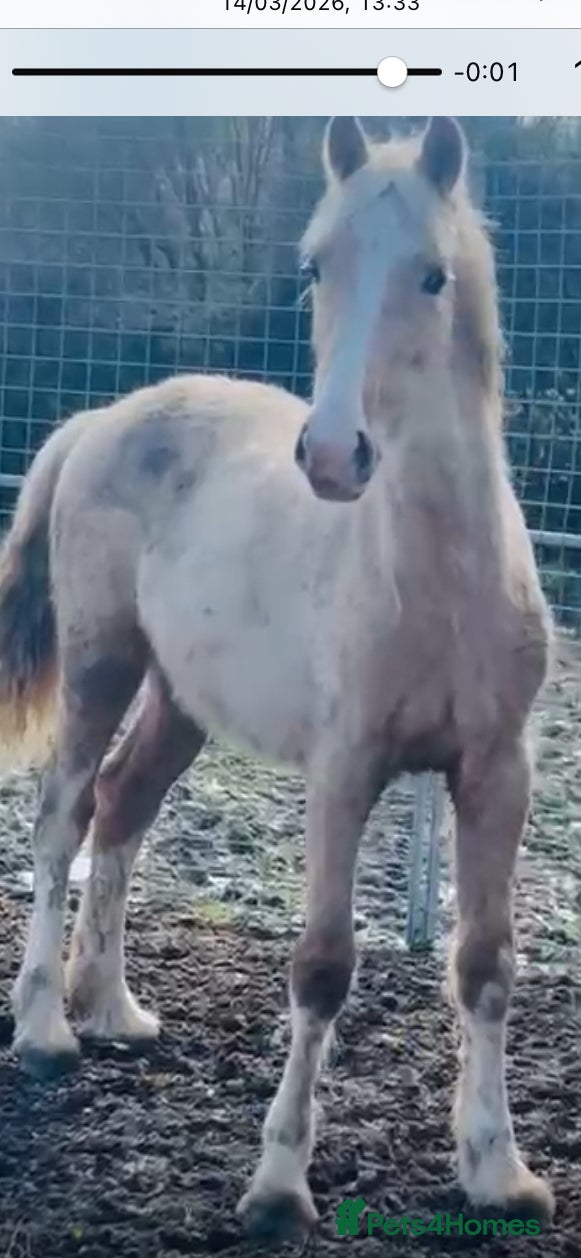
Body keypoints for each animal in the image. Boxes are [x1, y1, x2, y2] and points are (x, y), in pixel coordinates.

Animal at [0, 116, 554, 1234]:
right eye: (313, 266)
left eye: (432, 275)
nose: (335, 456)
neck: (432, 577)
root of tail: (100, 421)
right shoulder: (344, 772)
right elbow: (321, 966)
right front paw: (278, 1184)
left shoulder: (496, 773)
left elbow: (484, 963)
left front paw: (496, 1170)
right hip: (101, 664)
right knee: (62, 818)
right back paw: (44, 1030)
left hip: (180, 699)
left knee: (122, 808)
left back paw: (113, 1009)